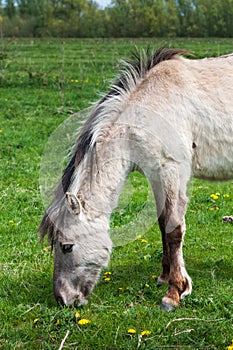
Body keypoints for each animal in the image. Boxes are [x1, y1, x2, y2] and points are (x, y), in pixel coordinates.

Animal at [38, 47, 233, 312]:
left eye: (66, 246)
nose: (62, 299)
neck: (148, 108)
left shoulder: (172, 170)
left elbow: (174, 230)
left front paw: (174, 293)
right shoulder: (156, 174)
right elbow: (162, 224)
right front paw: (164, 277)